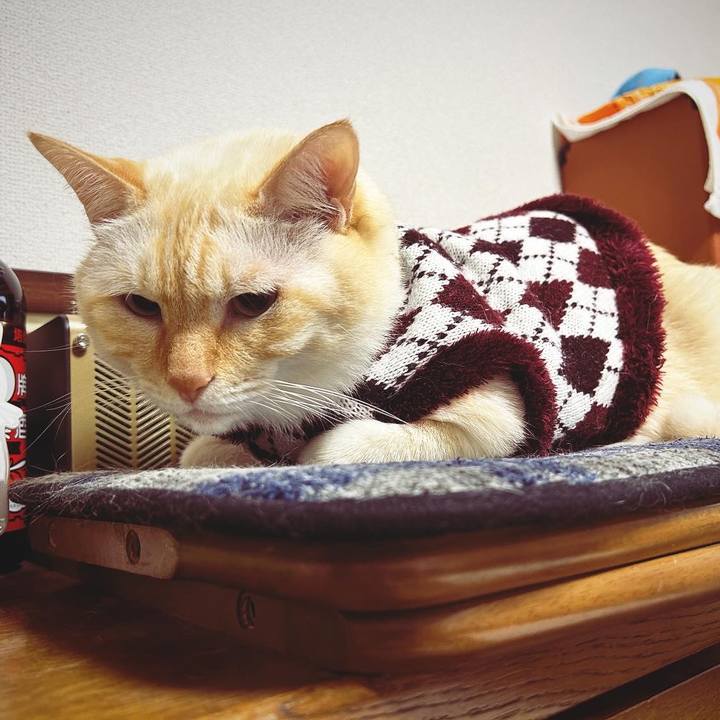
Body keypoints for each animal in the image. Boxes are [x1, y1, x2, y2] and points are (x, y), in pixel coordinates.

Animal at [29, 121, 720, 467]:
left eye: (253, 304)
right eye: (141, 307)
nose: (186, 384)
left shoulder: (501, 414)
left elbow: (335, 449)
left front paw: (298, 454)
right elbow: (198, 453)